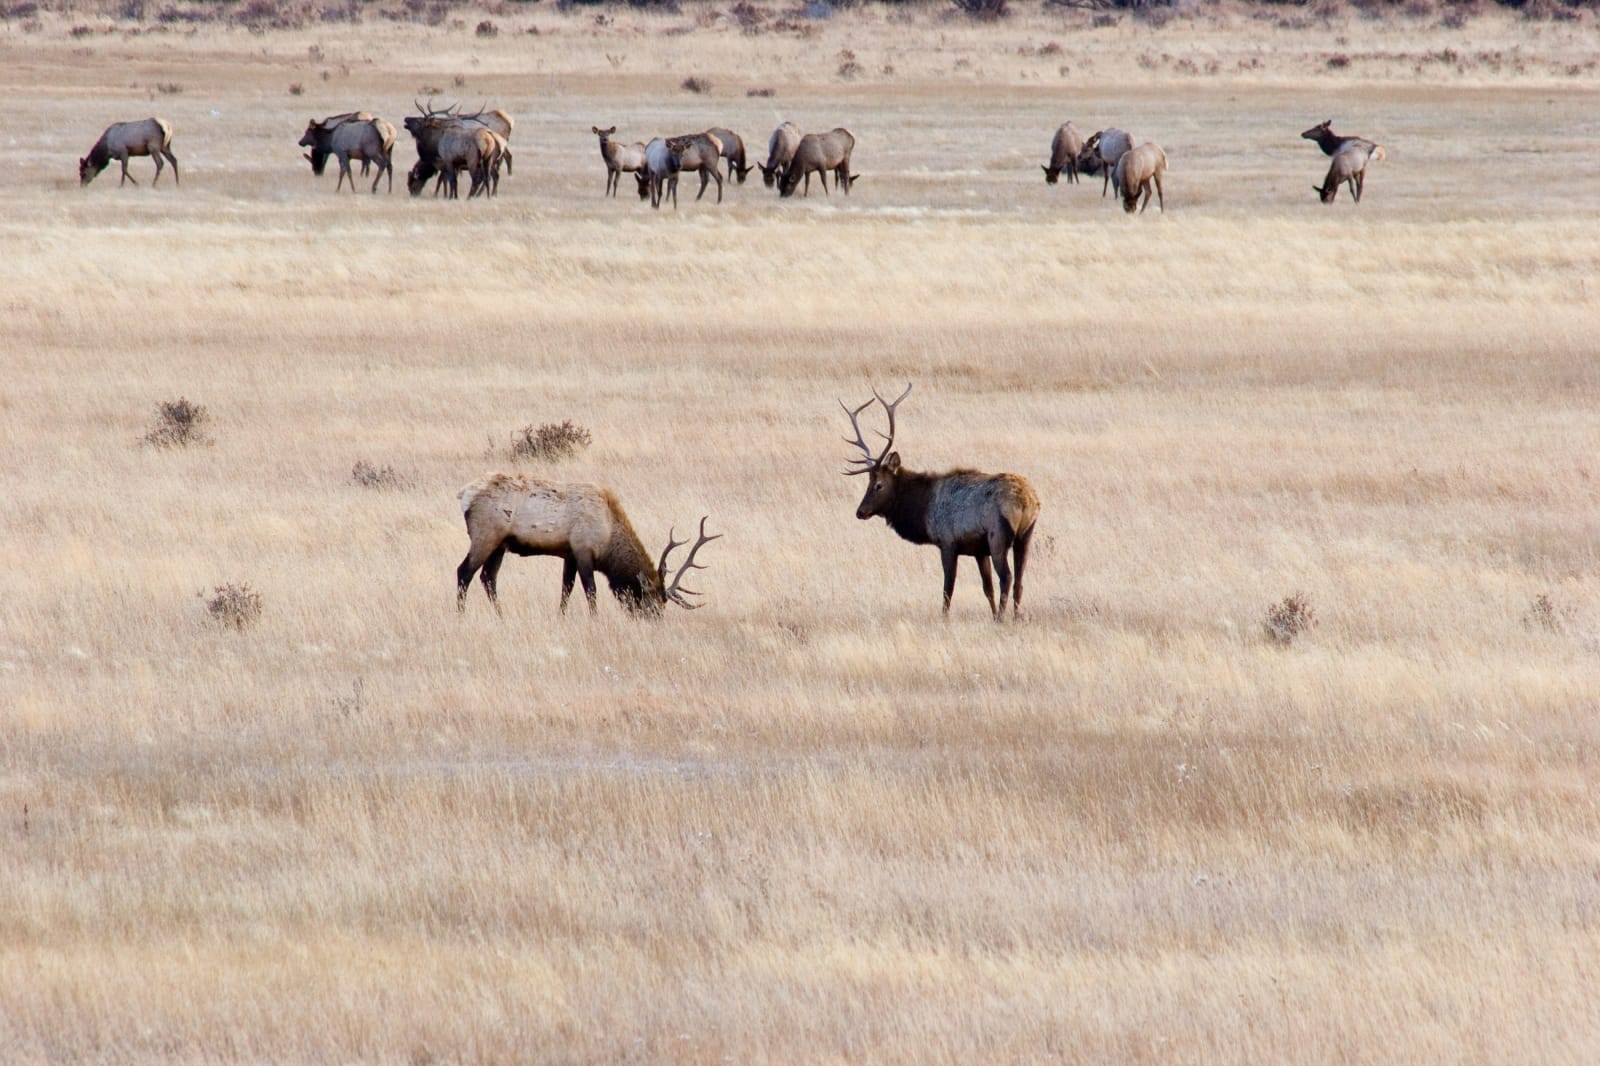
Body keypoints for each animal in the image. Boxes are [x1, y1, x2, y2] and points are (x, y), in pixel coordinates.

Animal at [456, 473, 720, 616]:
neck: (608, 536)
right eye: (654, 606)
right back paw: (461, 615)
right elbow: (590, 591)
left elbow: (566, 588)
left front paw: (561, 617)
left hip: (500, 544)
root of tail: (464, 495)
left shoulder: (569, 554)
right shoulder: (583, 550)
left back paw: (501, 616)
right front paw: (595, 619)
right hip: (485, 535)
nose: (656, 624)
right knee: (464, 572)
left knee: (488, 578)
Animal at [842, 385, 1039, 621]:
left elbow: (948, 588)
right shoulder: (979, 550)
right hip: (1026, 535)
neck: (922, 509)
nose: (860, 511)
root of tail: (1026, 502)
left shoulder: (947, 542)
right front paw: (990, 616)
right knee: (1019, 580)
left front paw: (945, 619)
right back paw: (1015, 617)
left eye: (878, 484)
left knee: (1007, 577)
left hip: (998, 536)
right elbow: (987, 588)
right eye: (868, 481)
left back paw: (1002, 618)